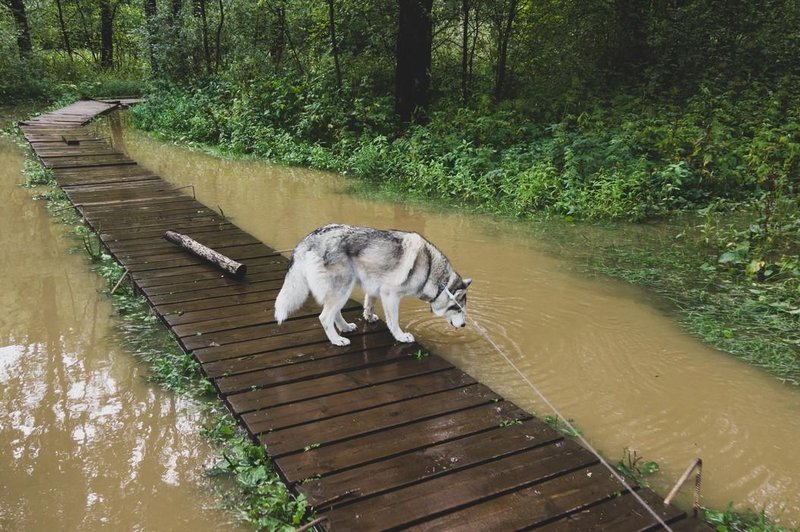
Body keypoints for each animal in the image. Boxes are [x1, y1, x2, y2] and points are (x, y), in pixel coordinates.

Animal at [278, 223, 472, 344]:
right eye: (458, 310)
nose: (464, 326)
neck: (435, 276)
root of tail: (309, 239)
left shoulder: (373, 287)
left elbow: (369, 305)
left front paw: (369, 317)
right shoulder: (390, 295)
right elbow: (393, 321)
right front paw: (400, 337)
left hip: (342, 290)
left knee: (334, 313)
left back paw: (345, 327)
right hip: (342, 289)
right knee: (325, 317)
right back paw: (337, 340)